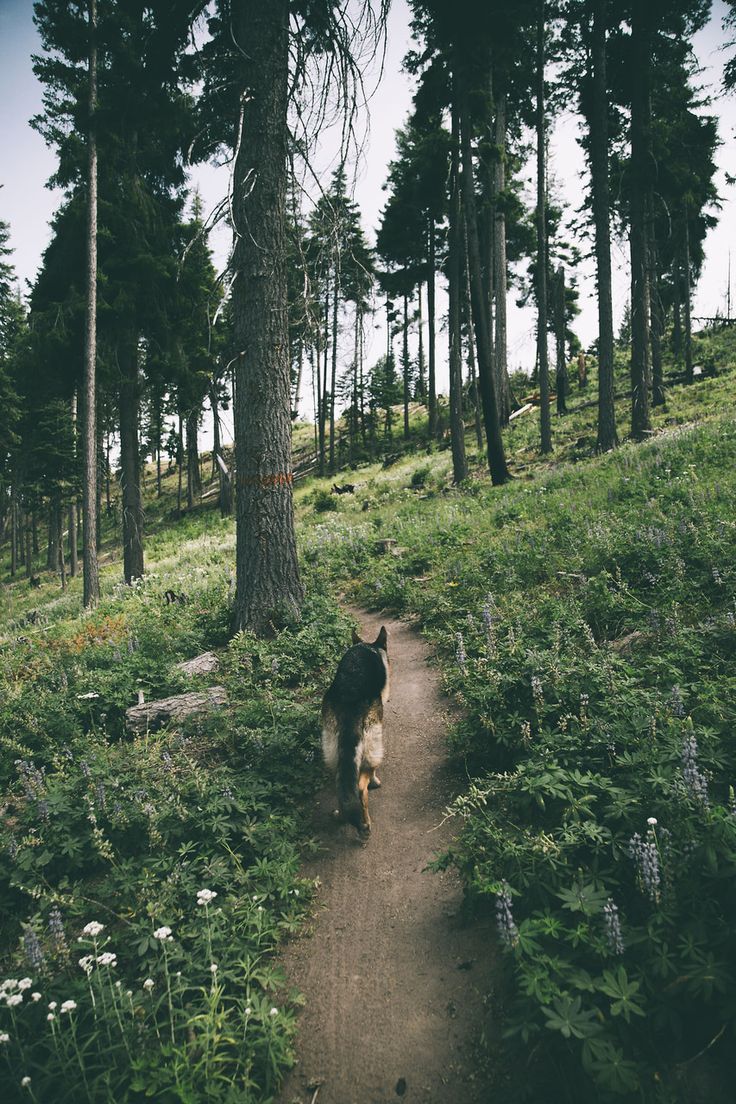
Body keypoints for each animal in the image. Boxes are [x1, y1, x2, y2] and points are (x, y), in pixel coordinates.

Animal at [322, 627, 390, 830]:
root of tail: (349, 700)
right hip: (372, 742)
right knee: (361, 787)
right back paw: (366, 823)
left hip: (332, 747)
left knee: (342, 785)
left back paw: (342, 816)